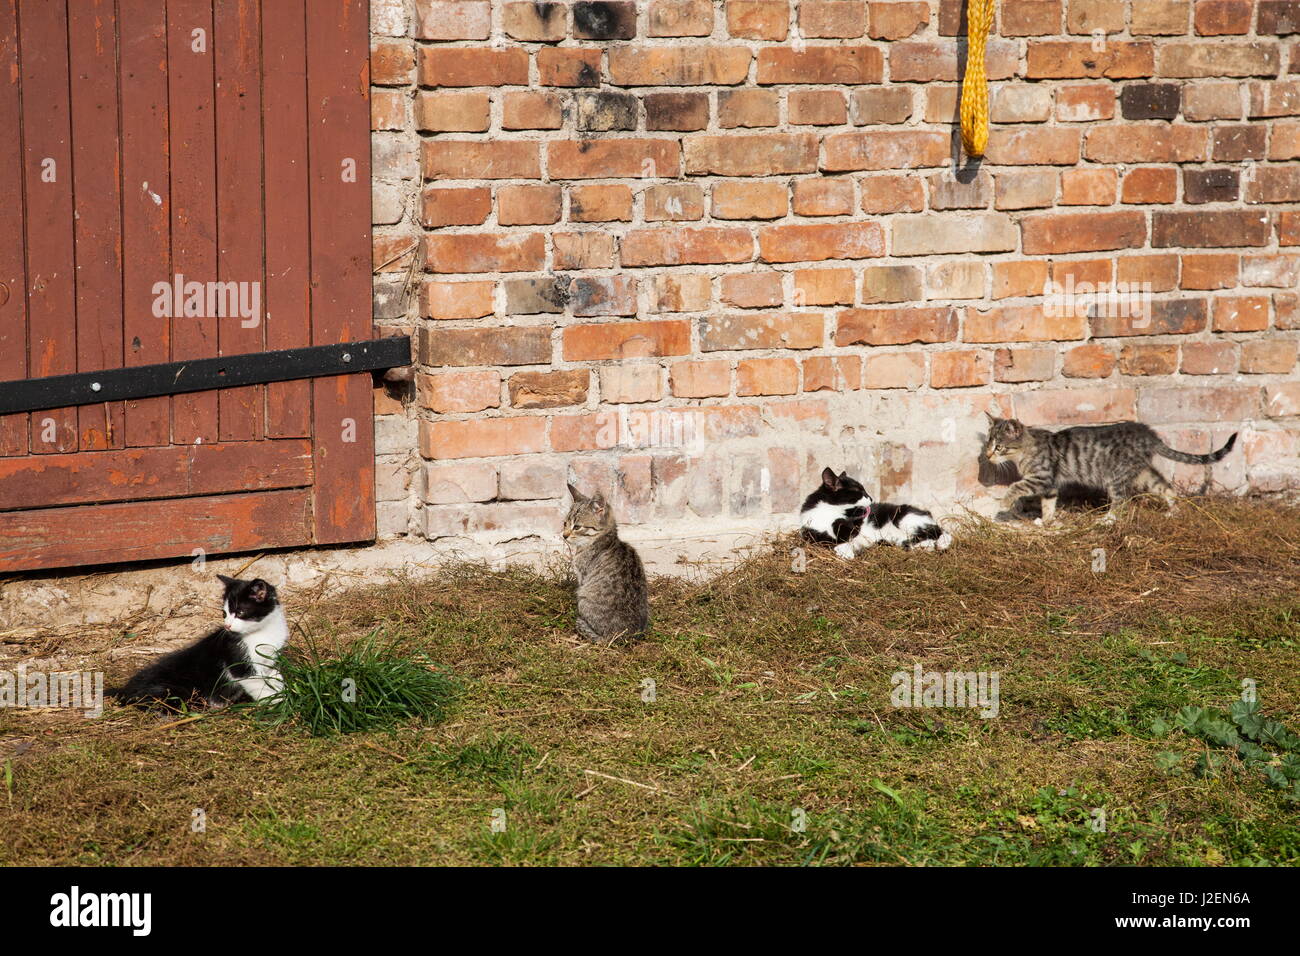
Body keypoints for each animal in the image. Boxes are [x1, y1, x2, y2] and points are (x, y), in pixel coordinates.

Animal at [795, 468, 951, 556]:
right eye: (859, 491)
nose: (871, 498)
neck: (830, 510)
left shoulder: (854, 524)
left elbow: (850, 532)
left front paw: (846, 549)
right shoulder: (813, 531)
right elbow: (831, 538)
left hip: (905, 518)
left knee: (938, 531)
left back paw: (940, 543)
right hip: (900, 538)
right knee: (923, 539)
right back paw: (925, 546)